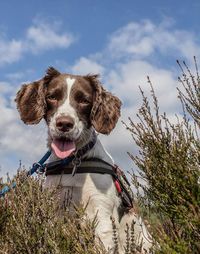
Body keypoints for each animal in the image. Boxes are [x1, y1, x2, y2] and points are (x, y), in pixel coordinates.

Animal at [15, 66, 152, 253]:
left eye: (84, 101)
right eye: (52, 97)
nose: (64, 124)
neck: (73, 163)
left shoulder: (102, 217)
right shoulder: (54, 212)